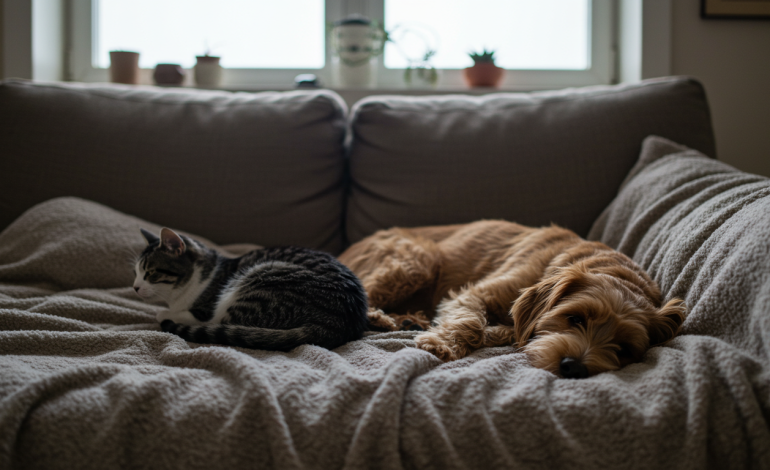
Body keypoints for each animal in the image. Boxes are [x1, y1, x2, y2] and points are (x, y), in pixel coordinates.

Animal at [133, 226, 368, 350]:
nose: (135, 287)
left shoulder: (204, 309)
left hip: (261, 278)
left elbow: (178, 314)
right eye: (135, 272)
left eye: (150, 273)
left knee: (223, 323)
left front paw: (163, 313)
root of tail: (340, 322)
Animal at [336, 219, 684, 378]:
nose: (573, 367)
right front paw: (443, 344)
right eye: (575, 318)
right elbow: (470, 322)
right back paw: (381, 318)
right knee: (364, 291)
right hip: (416, 259)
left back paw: (409, 319)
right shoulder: (477, 292)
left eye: (624, 348)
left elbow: (507, 329)